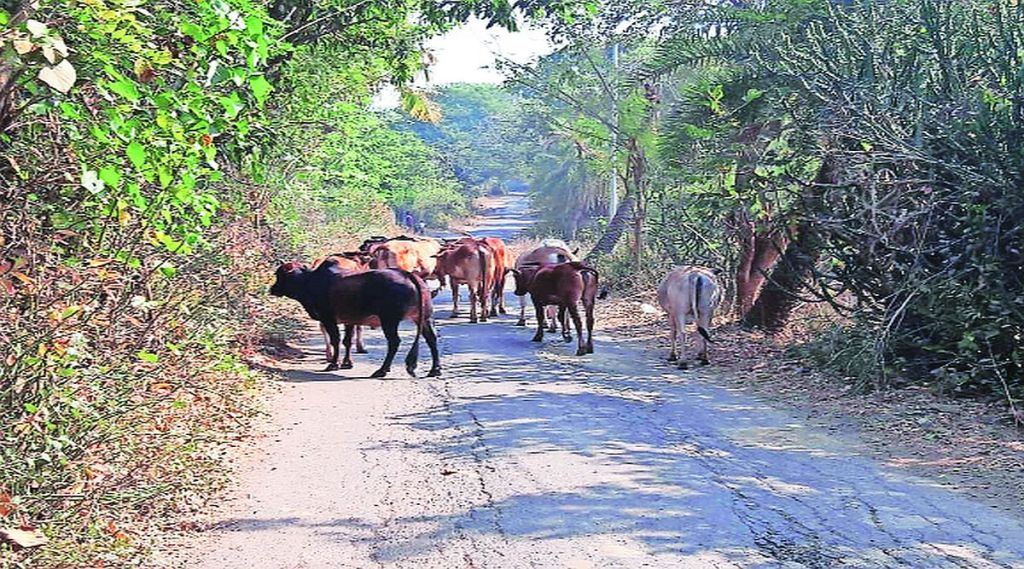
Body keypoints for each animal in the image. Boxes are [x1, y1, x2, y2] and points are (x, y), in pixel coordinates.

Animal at [268, 260, 440, 378]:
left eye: (279, 275)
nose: (272, 289)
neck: (309, 282)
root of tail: (408, 275)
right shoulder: (349, 320)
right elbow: (347, 341)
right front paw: (346, 363)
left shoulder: (328, 318)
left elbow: (336, 340)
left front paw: (334, 364)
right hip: (424, 318)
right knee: (431, 339)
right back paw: (435, 370)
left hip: (389, 320)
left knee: (394, 342)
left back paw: (382, 370)